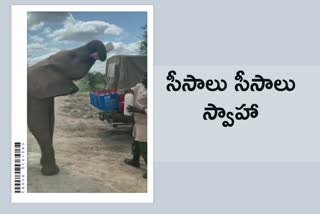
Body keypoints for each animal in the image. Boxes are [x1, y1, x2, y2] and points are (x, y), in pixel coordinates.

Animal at [26, 40, 106, 176]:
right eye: (72, 55)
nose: (97, 55)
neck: (45, 61)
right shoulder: (33, 96)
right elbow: (38, 125)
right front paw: (51, 173)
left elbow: (50, 122)